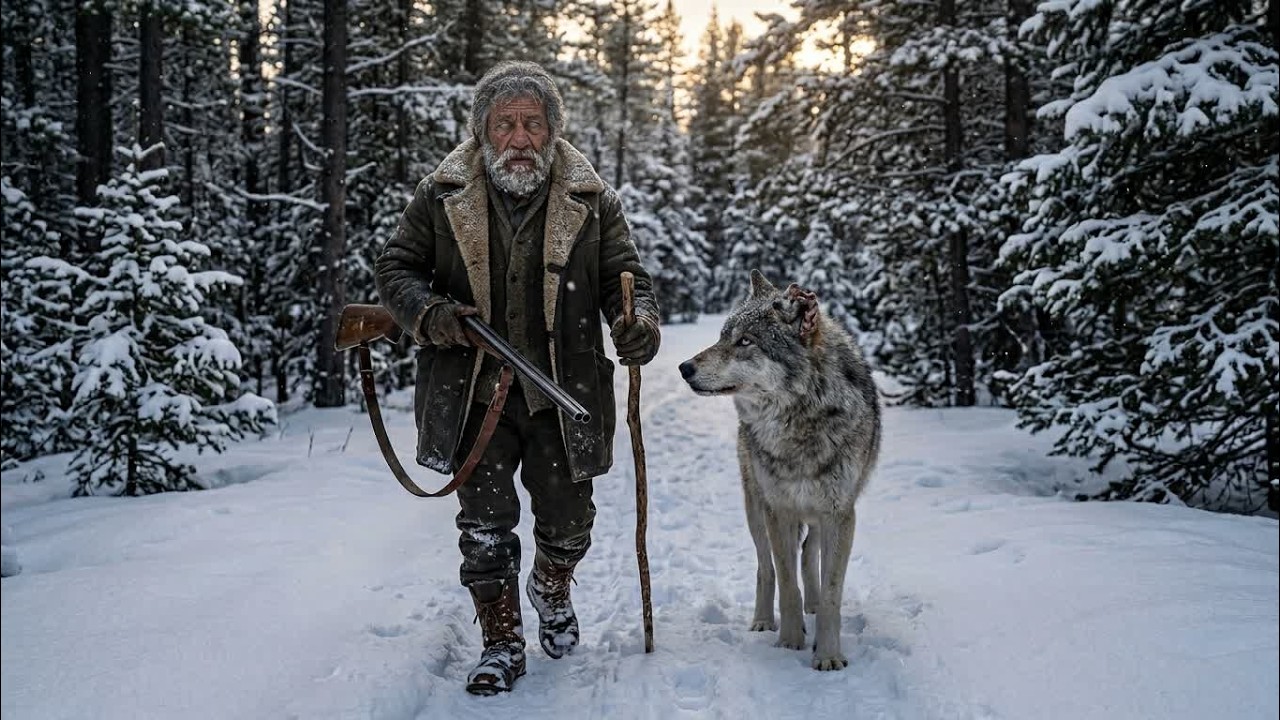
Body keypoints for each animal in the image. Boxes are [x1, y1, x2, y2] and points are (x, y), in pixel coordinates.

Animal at [679, 270, 881, 670]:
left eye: (745, 341)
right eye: (722, 336)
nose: (684, 368)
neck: (799, 423)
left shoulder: (839, 514)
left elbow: (832, 591)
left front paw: (828, 655)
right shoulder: (780, 511)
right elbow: (786, 583)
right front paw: (789, 643)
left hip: (818, 516)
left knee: (808, 554)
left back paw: (812, 606)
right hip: (756, 509)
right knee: (765, 567)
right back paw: (762, 620)